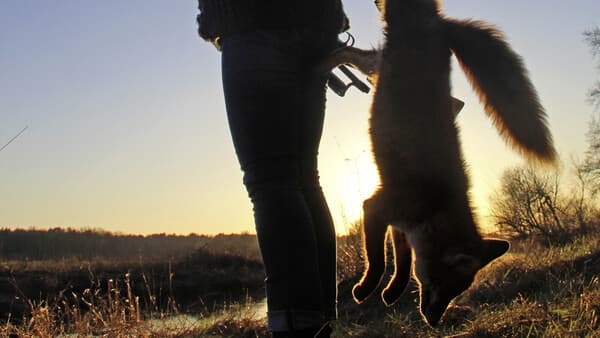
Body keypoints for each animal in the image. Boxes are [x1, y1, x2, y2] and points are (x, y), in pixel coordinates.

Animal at [318, 0, 556, 326]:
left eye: (457, 290)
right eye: (443, 285)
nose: (434, 320)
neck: (434, 206)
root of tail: (439, 23)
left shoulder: (399, 224)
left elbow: (402, 263)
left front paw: (391, 292)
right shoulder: (376, 207)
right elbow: (378, 261)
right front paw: (365, 289)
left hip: (376, 64)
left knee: (348, 55)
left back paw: (327, 65)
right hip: (388, 33)